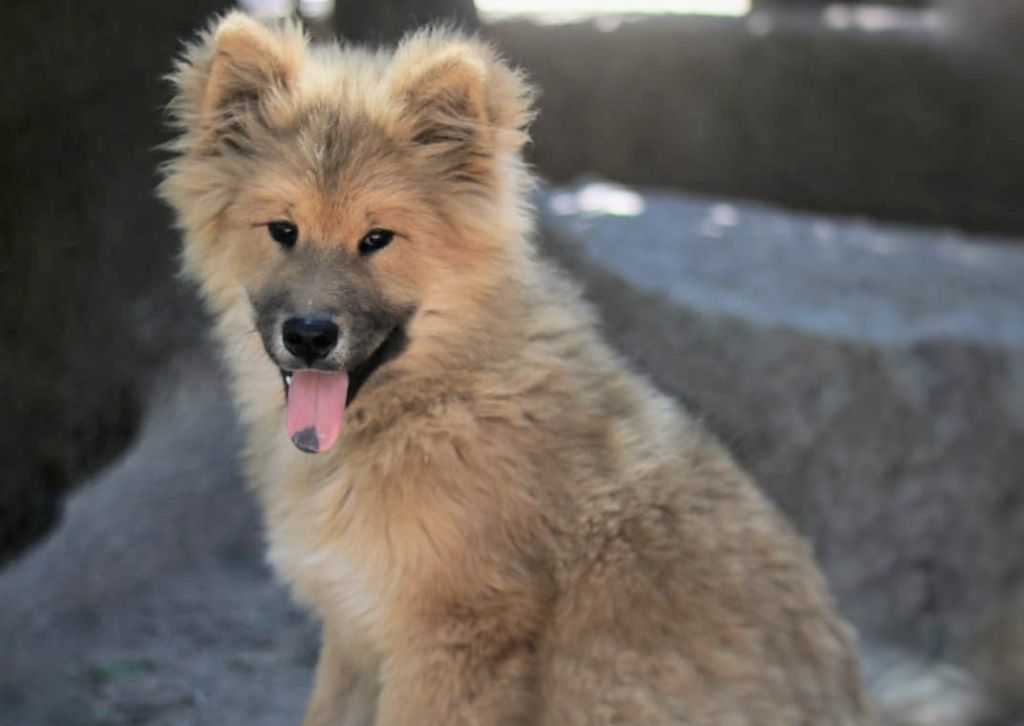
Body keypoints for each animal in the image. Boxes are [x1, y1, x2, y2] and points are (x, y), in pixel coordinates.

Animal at [157, 12, 872, 724]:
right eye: (283, 230)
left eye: (377, 239)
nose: (309, 335)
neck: (443, 398)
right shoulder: (355, 634)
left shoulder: (452, 638)